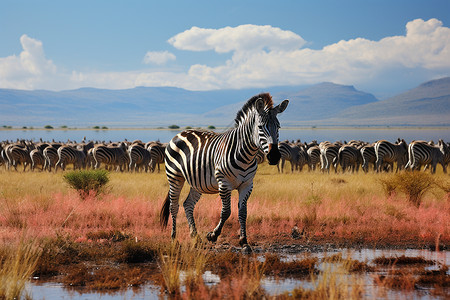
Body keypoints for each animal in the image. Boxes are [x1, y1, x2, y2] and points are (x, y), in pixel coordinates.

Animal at [160, 93, 290, 251]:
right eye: (260, 127)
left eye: (278, 127)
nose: (274, 156)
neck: (246, 154)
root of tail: (180, 133)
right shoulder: (224, 183)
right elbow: (226, 211)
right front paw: (213, 235)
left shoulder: (247, 184)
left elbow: (243, 212)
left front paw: (244, 241)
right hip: (174, 176)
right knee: (174, 206)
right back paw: (174, 239)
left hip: (197, 182)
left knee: (188, 204)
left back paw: (195, 238)